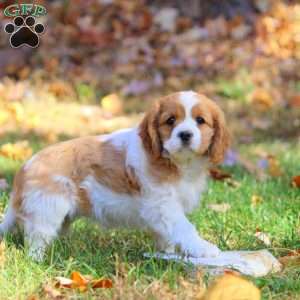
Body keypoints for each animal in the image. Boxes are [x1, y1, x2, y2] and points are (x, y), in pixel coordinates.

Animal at [0, 91, 230, 260]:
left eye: (200, 120)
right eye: (170, 120)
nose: (185, 135)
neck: (178, 163)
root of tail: (24, 169)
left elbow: (166, 234)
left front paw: (167, 252)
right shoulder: (164, 205)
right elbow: (185, 227)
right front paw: (202, 248)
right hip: (47, 209)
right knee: (36, 241)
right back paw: (39, 261)